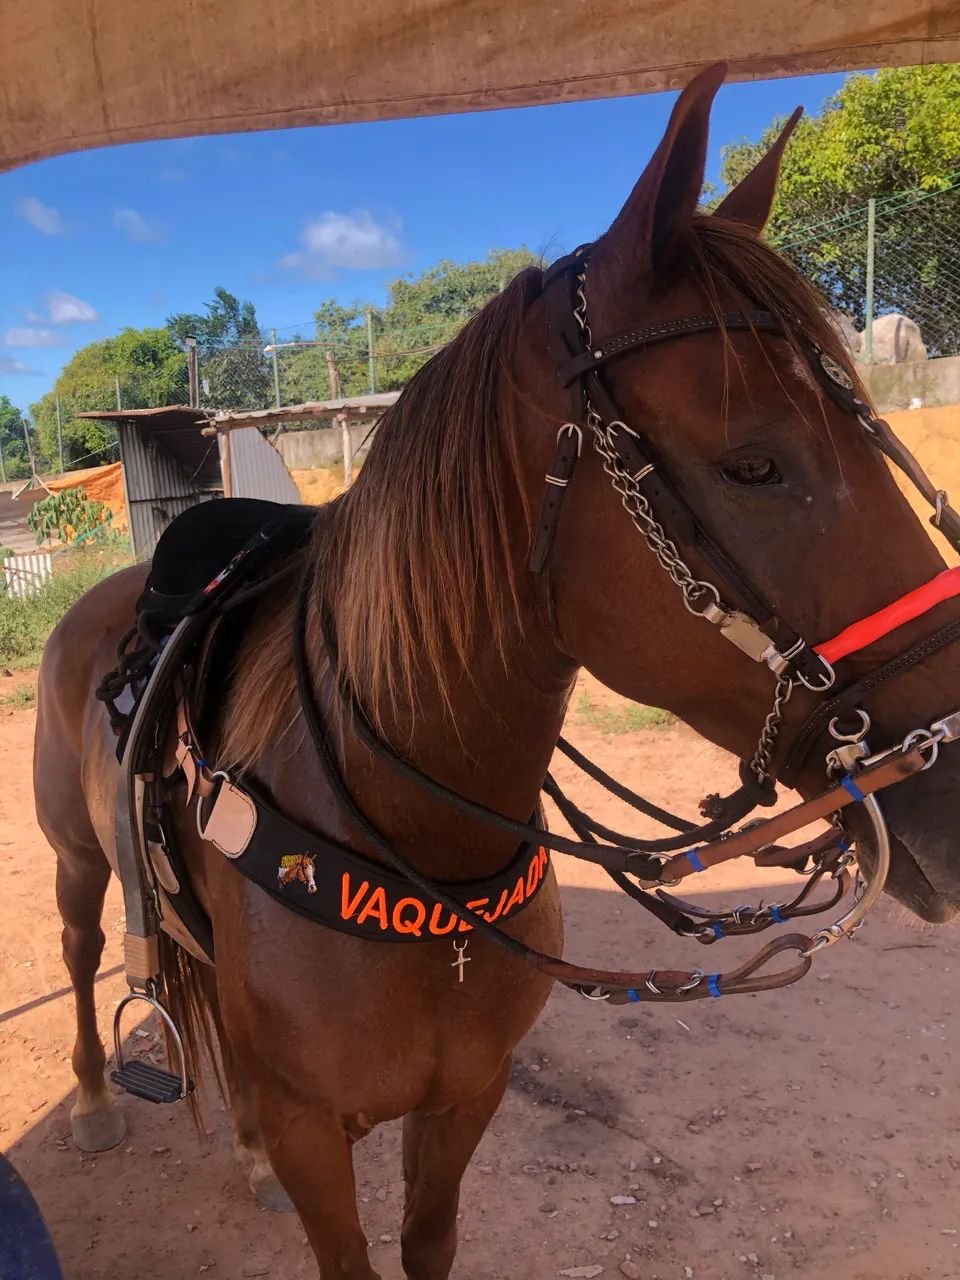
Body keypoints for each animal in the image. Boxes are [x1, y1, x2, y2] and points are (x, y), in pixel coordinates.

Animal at [34, 63, 960, 1279]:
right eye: (755, 464)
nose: (949, 778)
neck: (416, 848)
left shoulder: (466, 1098)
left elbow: (428, 1239)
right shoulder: (317, 1135)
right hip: (76, 860)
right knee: (84, 951)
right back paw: (97, 1100)